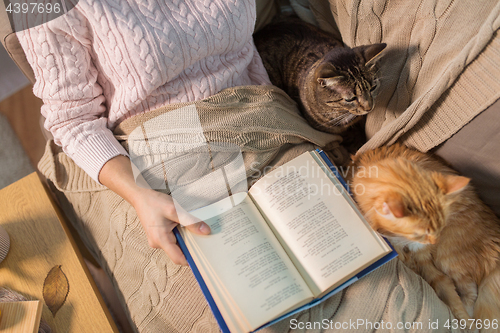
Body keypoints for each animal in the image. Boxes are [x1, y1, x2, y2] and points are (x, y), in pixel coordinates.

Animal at [348, 144, 500, 328]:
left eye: (440, 227)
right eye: (420, 234)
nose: (434, 242)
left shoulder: (425, 258)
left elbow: (450, 295)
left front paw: (465, 323)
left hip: (447, 257)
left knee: (471, 291)